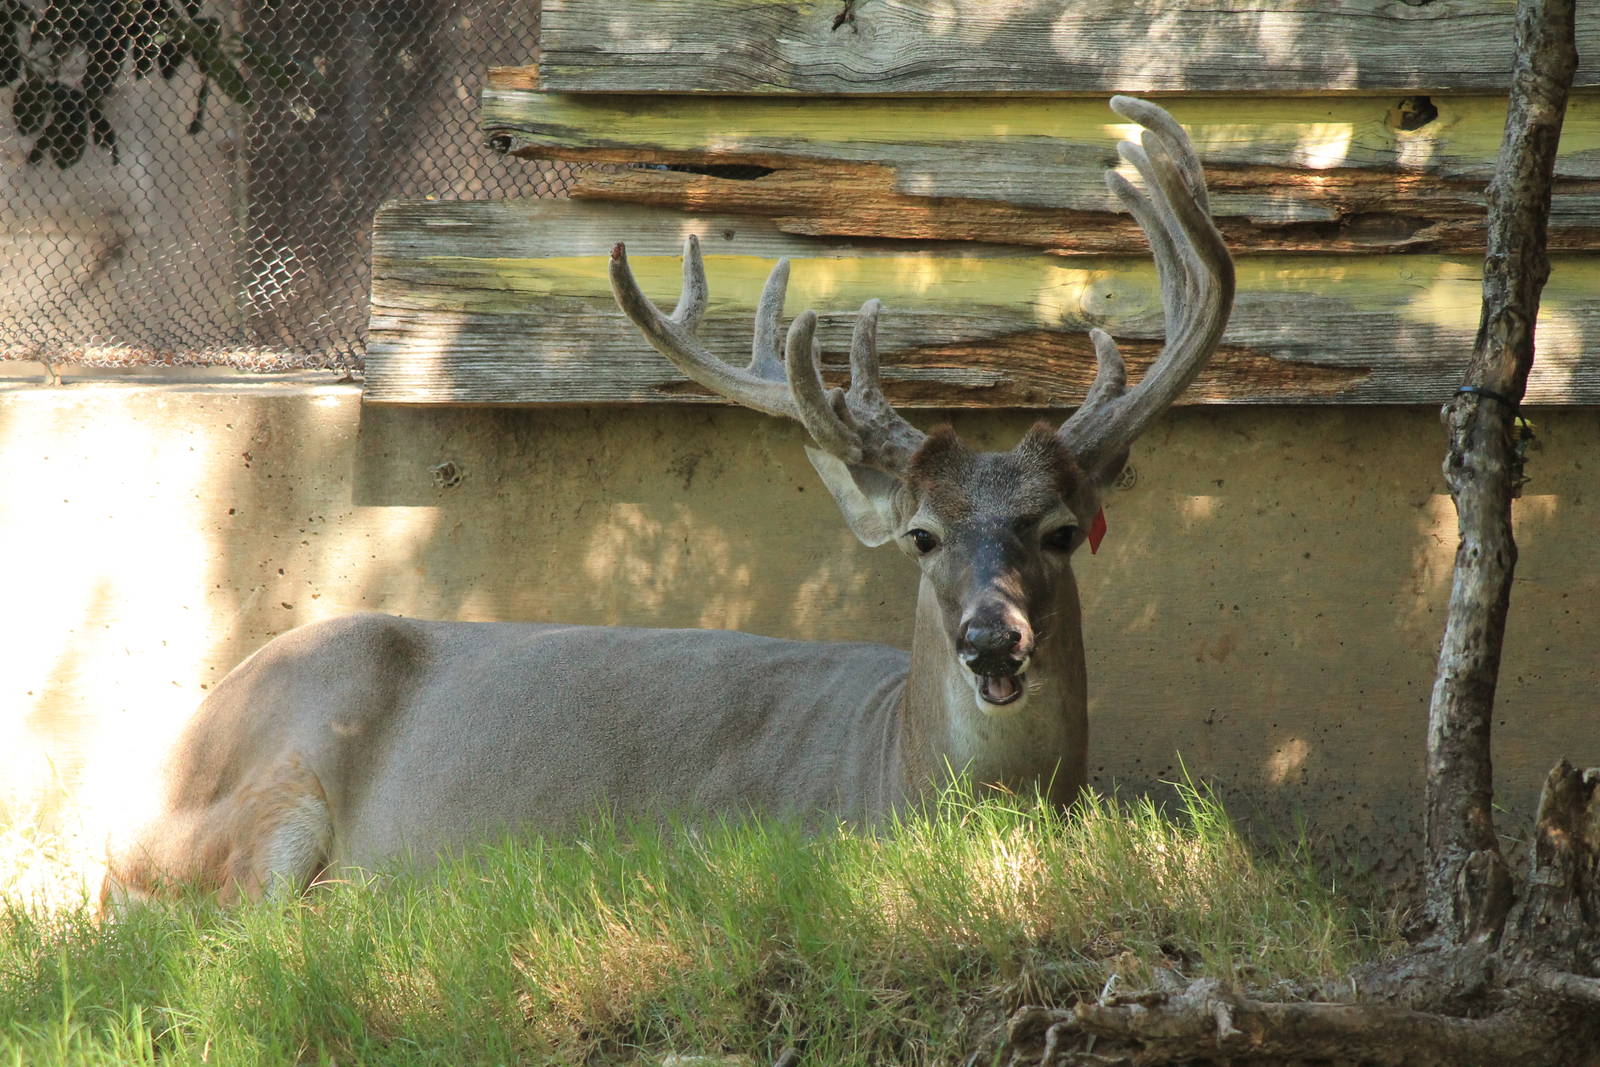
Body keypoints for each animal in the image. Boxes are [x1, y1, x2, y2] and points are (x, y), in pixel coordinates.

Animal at [101, 97, 1233, 909]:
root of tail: (141, 797)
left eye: (1060, 530)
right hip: (266, 780)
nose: (992, 639)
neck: (890, 779)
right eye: (921, 534)